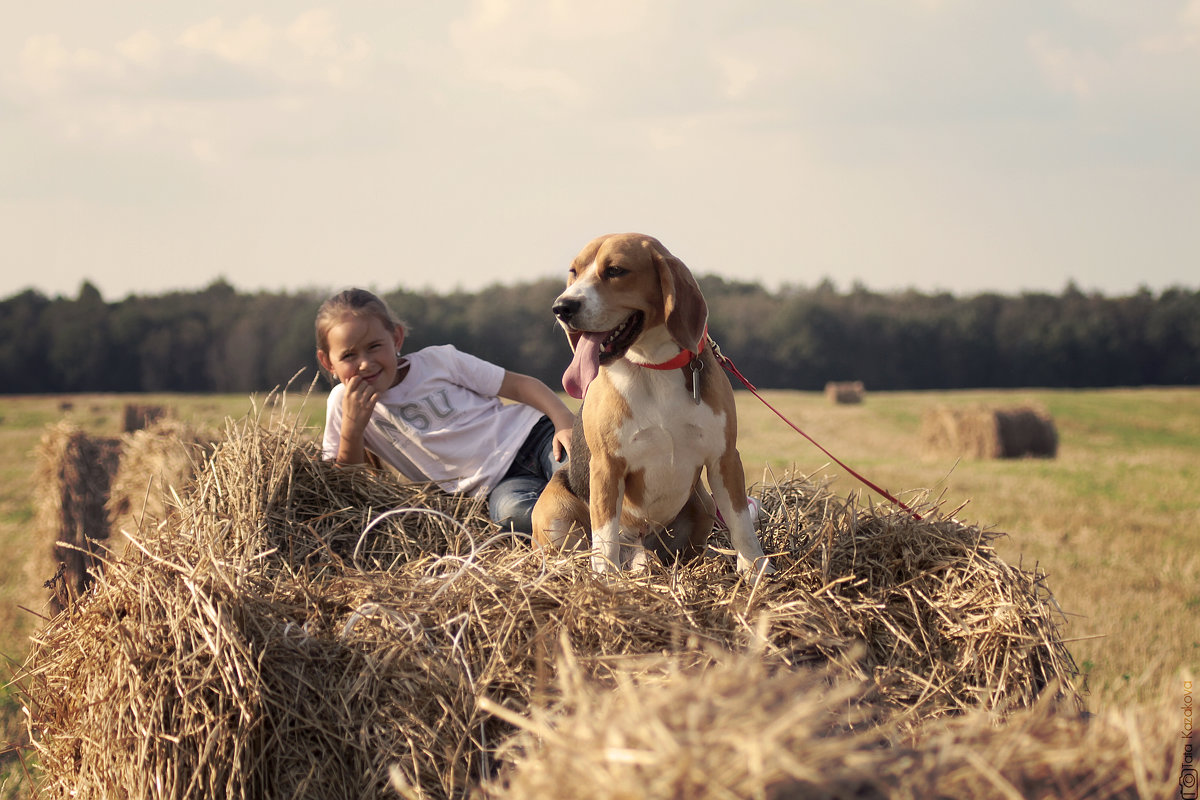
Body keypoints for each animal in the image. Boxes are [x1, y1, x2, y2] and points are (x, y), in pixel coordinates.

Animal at [532, 235, 768, 578]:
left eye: (615, 270)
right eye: (573, 272)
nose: (562, 307)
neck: (653, 366)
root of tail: (639, 546)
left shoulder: (724, 458)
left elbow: (741, 526)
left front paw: (755, 571)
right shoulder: (606, 466)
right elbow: (605, 537)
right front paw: (605, 578)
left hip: (704, 506)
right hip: (556, 515)